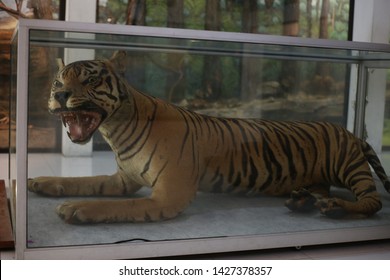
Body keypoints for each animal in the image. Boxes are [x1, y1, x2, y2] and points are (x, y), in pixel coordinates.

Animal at [28, 51, 390, 224]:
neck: (114, 132)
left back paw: (335, 208)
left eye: (89, 80)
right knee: (319, 191)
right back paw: (300, 201)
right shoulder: (122, 180)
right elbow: (83, 182)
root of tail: (350, 130)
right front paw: (41, 182)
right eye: (59, 80)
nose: (59, 95)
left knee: (371, 201)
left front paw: (75, 208)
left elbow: (115, 206)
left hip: (349, 167)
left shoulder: (167, 194)